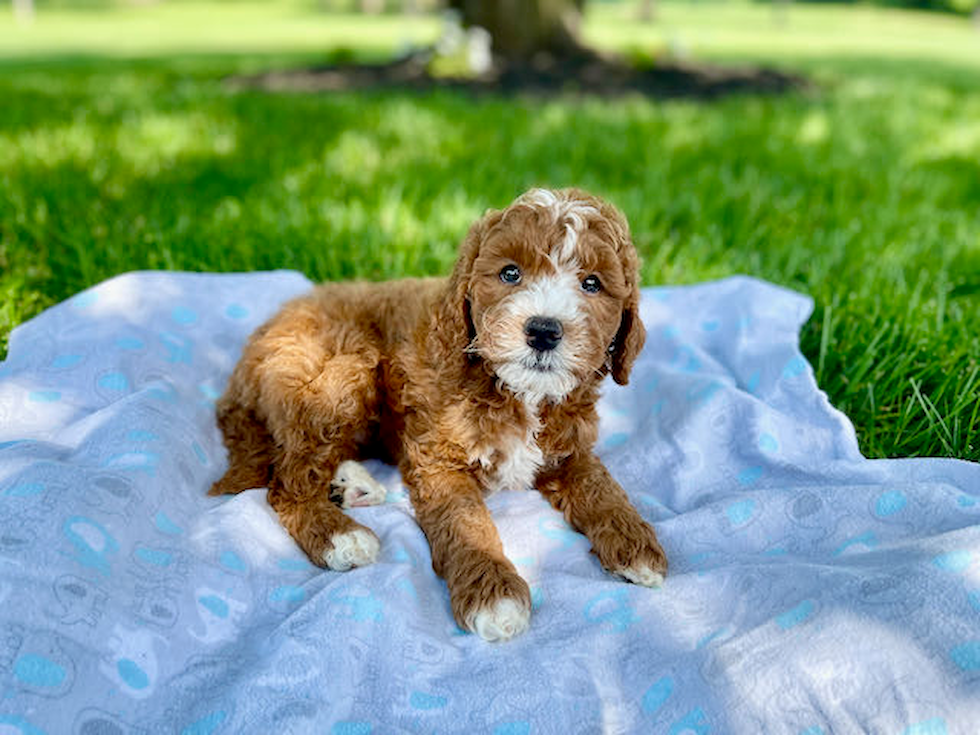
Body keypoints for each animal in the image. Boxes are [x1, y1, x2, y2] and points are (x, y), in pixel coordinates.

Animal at [211, 187, 668, 640]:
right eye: (510, 274)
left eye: (592, 283)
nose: (542, 331)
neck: (519, 392)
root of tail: (251, 353)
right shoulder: (438, 459)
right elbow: (465, 520)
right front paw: (493, 593)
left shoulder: (571, 451)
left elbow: (600, 486)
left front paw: (635, 543)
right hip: (343, 372)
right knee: (285, 482)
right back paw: (340, 536)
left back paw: (351, 486)